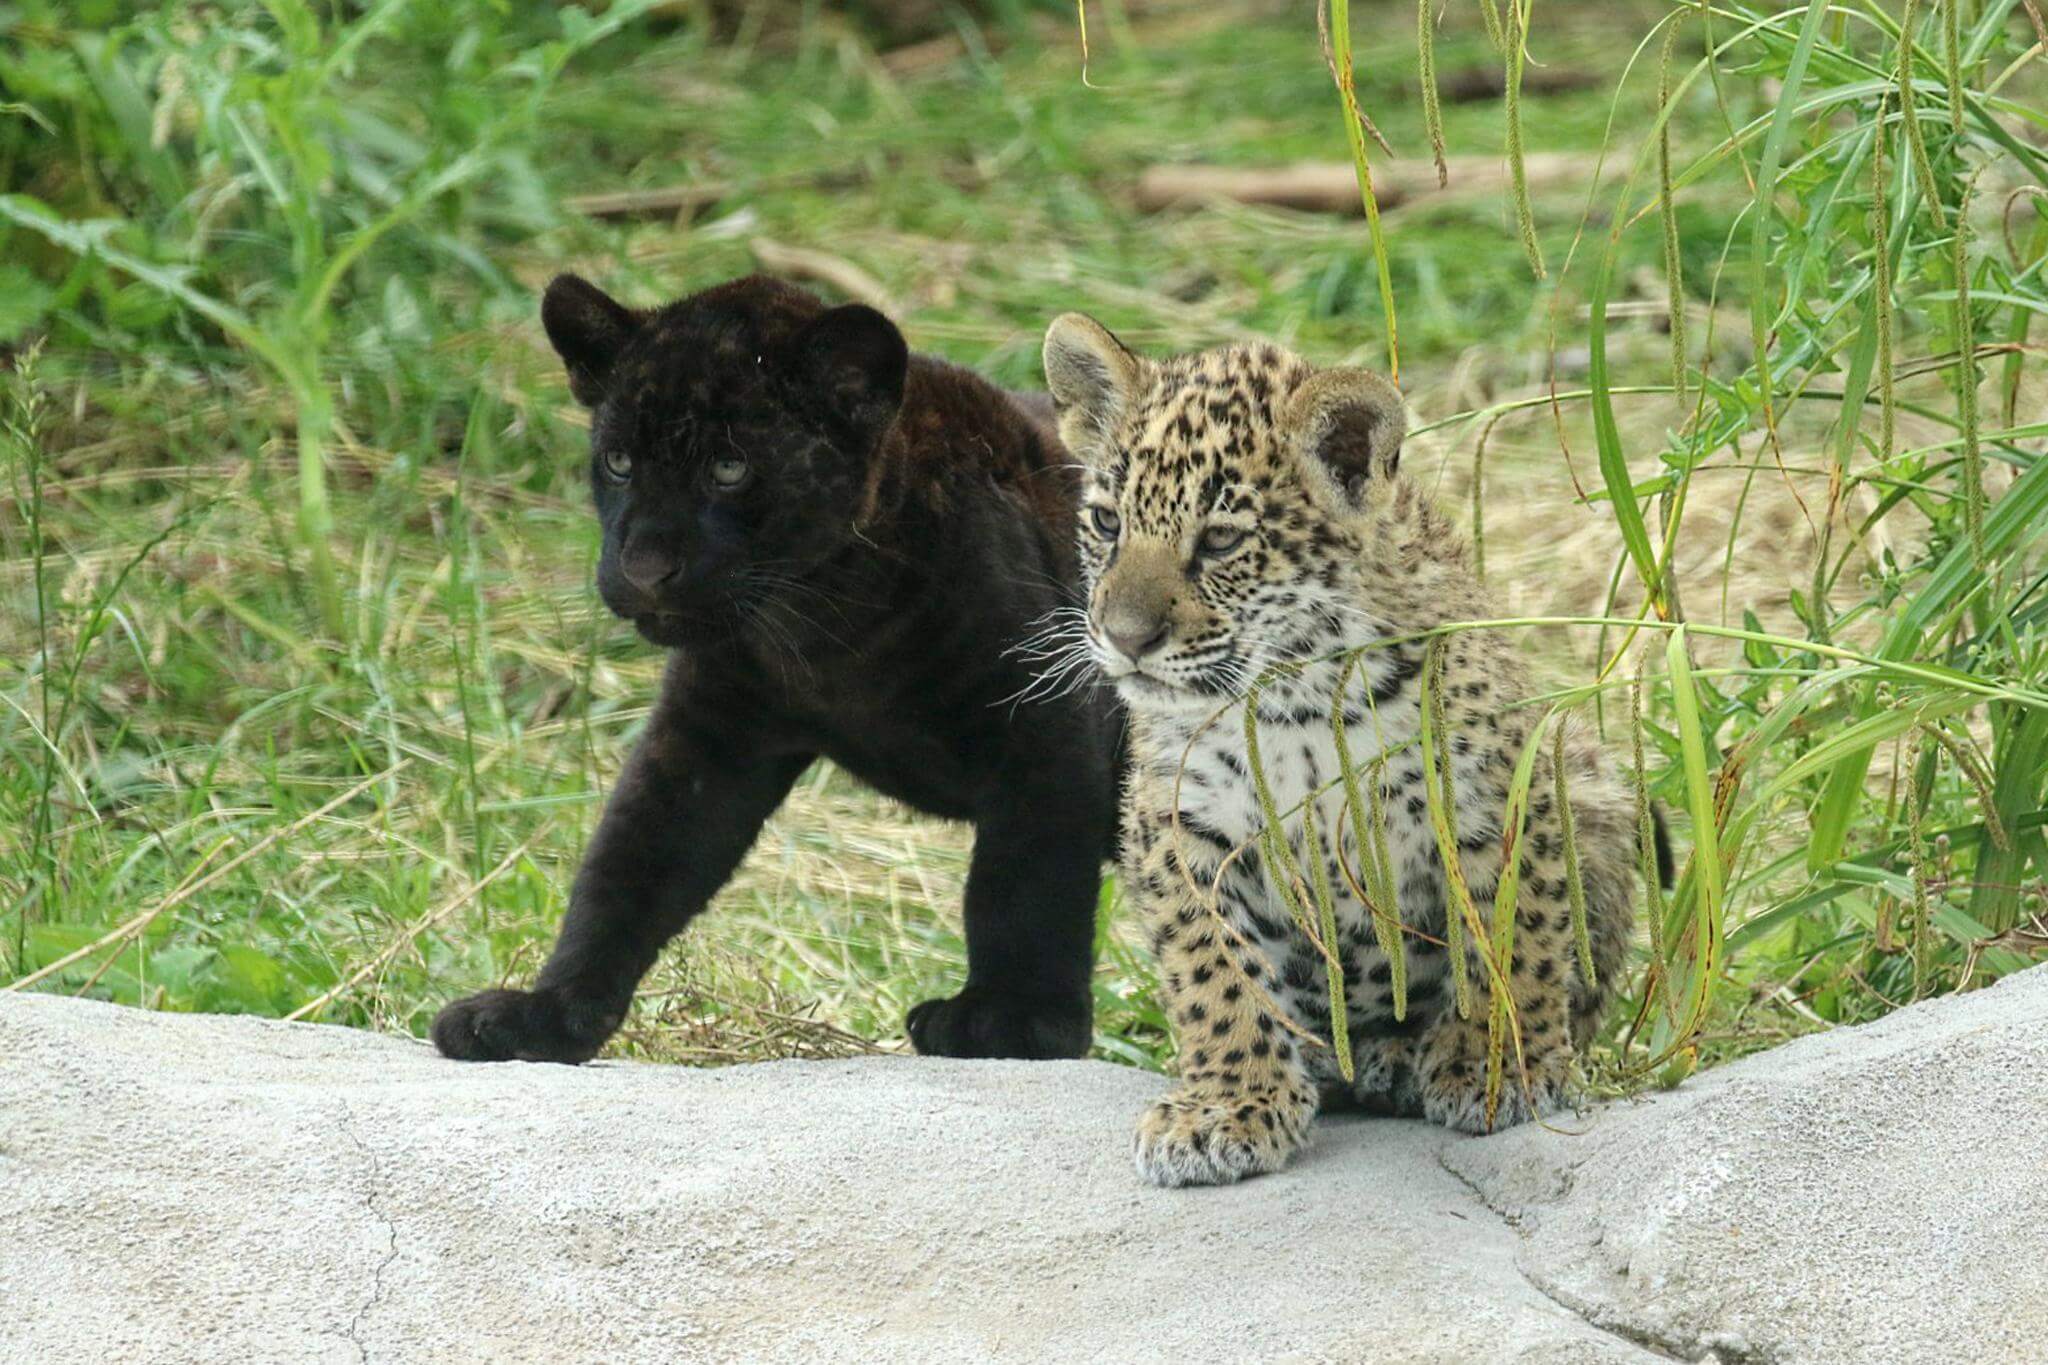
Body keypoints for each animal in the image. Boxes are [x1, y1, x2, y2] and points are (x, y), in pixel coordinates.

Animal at [431, 274, 1122, 1067]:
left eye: (730, 469)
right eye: (619, 462)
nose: (643, 568)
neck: (829, 626)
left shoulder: (1044, 729)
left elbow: (1023, 885)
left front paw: (1016, 1020)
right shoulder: (707, 737)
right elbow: (627, 872)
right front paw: (545, 1015)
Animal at [1041, 313, 1668, 1187]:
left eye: (1222, 540)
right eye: (1107, 524)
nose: (1125, 640)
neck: (1291, 698)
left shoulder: (1497, 795)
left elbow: (1512, 935)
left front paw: (1499, 1067)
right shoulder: (1177, 827)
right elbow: (1213, 972)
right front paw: (1226, 1103)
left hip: (1585, 771)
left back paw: (1403, 1057)